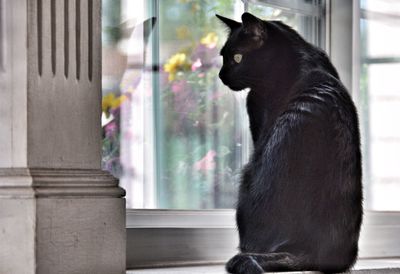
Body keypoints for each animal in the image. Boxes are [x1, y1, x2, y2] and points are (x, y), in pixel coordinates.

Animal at [217, 11, 364, 272]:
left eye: (237, 57)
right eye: (222, 57)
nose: (221, 75)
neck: (299, 55)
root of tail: (309, 253)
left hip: (247, 176)